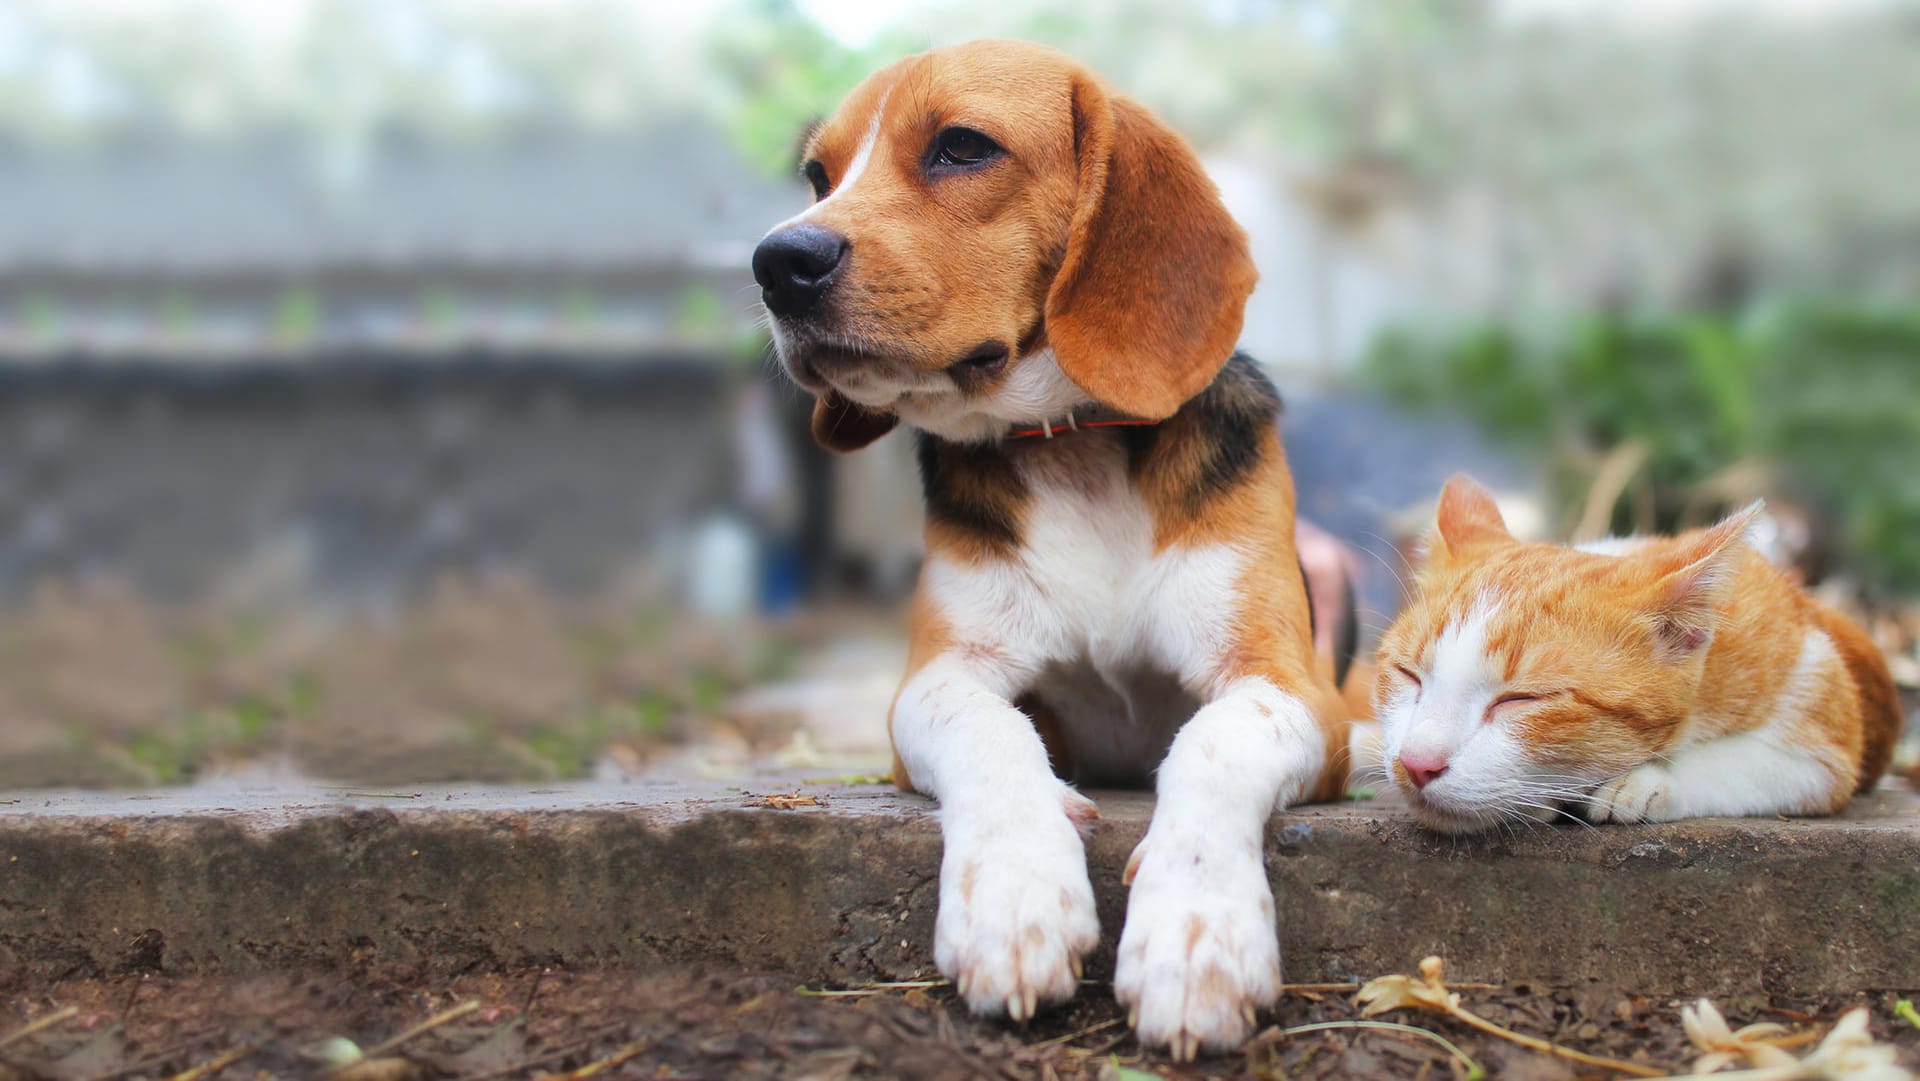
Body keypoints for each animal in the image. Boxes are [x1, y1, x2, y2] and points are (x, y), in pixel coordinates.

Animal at [748, 40, 1351, 1059]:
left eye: (961, 146)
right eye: (817, 177)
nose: (776, 261)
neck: (1072, 445)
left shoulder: (1293, 687)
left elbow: (1214, 741)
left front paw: (1196, 932)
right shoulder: (938, 679)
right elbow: (993, 731)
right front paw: (1015, 895)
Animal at [1374, 470, 1896, 833]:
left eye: (1521, 700)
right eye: (1407, 674)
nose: (1416, 763)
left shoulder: (1824, 727)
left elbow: (1748, 763)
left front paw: (1644, 781)